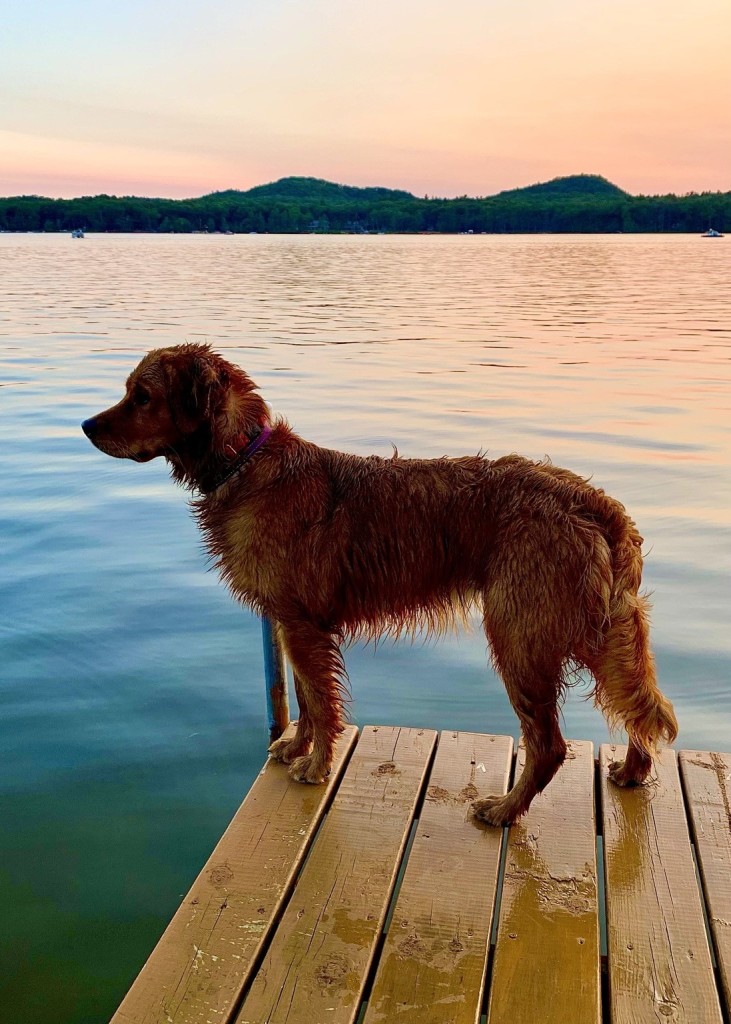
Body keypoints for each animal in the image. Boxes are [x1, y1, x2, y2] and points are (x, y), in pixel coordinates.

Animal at [82, 344, 675, 823]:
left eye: (142, 396)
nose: (87, 425)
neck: (244, 462)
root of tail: (593, 502)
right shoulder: (294, 623)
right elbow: (306, 697)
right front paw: (298, 747)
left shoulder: (301, 623)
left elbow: (321, 702)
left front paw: (315, 764)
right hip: (597, 627)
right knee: (638, 700)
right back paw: (632, 769)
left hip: (521, 634)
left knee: (550, 745)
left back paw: (505, 809)